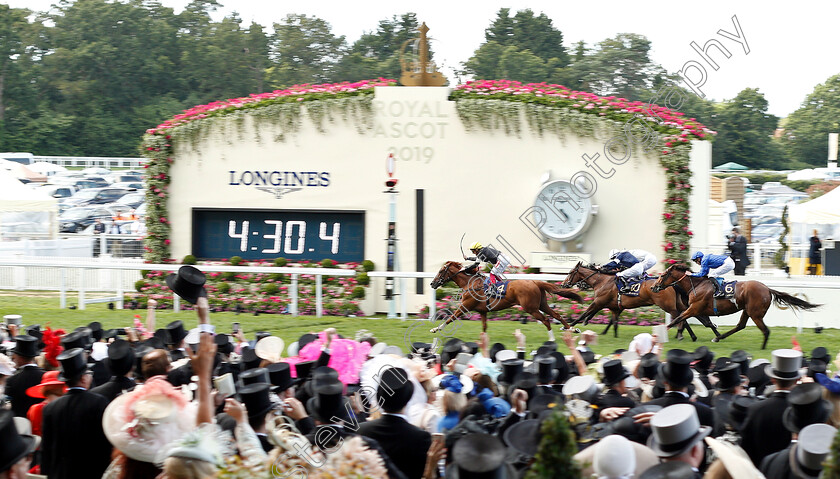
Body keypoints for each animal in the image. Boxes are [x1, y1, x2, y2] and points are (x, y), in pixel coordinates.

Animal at [430, 262, 580, 342]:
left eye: (441, 271)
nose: (432, 283)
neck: (470, 284)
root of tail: (535, 281)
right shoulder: (483, 311)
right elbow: (484, 327)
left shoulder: (465, 306)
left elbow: (451, 317)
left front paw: (435, 328)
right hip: (542, 304)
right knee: (557, 315)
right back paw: (572, 329)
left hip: (531, 308)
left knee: (546, 320)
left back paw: (552, 339)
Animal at [560, 262, 712, 342]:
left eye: (571, 272)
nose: (563, 284)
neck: (602, 281)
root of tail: (671, 284)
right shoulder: (615, 307)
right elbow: (614, 323)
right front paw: (611, 335)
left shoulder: (598, 302)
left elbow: (584, 313)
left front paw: (569, 326)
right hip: (676, 304)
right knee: (684, 316)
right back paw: (691, 336)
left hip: (668, 306)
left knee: (681, 318)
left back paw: (680, 334)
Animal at [648, 264, 820, 350]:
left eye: (663, 275)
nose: (653, 287)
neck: (695, 285)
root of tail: (767, 289)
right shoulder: (697, 310)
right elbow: (700, 322)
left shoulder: (694, 308)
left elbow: (677, 319)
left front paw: (659, 334)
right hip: (747, 310)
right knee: (740, 326)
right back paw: (718, 338)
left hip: (755, 314)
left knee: (765, 330)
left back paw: (762, 349)